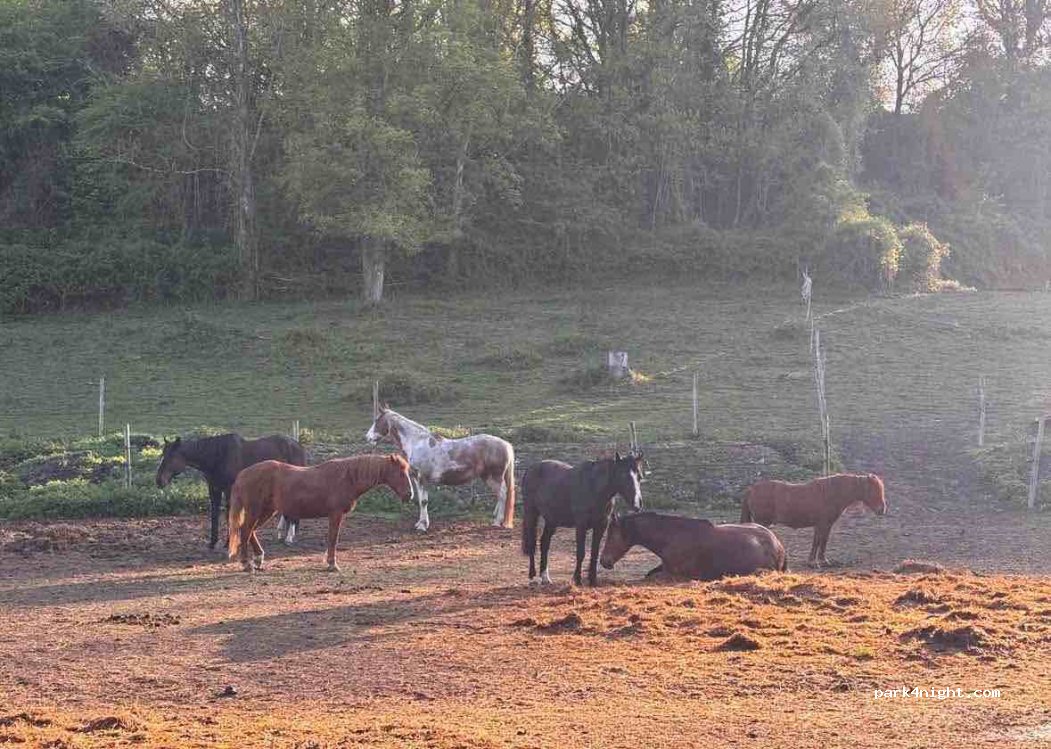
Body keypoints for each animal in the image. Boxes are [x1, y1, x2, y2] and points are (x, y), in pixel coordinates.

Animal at [156, 433, 306, 550]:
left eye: (172, 457)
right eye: (163, 455)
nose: (158, 481)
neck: (218, 457)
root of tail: (297, 445)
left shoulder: (229, 490)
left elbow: (229, 514)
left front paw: (228, 543)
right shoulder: (214, 490)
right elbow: (214, 515)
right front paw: (213, 543)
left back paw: (289, 537)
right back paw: (283, 534)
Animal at [227, 454, 414, 572]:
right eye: (400, 473)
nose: (409, 495)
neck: (347, 477)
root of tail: (242, 474)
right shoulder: (336, 514)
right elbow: (333, 539)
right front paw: (332, 564)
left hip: (267, 511)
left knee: (250, 531)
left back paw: (258, 559)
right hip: (255, 510)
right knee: (245, 531)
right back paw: (246, 564)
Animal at [365, 407, 515, 532]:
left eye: (377, 420)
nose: (367, 437)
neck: (417, 443)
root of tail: (505, 444)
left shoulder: (422, 478)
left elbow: (424, 502)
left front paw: (422, 526)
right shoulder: (416, 479)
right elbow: (420, 501)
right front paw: (420, 523)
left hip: (494, 477)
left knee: (502, 494)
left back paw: (497, 522)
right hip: (487, 477)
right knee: (500, 495)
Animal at [520, 452, 643, 587]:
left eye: (639, 476)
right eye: (623, 475)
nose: (637, 503)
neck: (593, 487)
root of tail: (531, 468)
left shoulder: (601, 525)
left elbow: (594, 553)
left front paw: (593, 580)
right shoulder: (581, 525)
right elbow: (581, 552)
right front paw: (577, 580)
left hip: (551, 520)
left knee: (544, 543)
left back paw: (545, 578)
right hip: (531, 514)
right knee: (532, 543)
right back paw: (533, 576)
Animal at [740, 473, 886, 567]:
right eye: (872, 490)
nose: (882, 509)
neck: (831, 493)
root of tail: (751, 489)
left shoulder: (821, 525)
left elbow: (819, 542)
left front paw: (817, 561)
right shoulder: (823, 524)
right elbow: (820, 542)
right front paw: (818, 562)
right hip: (761, 523)